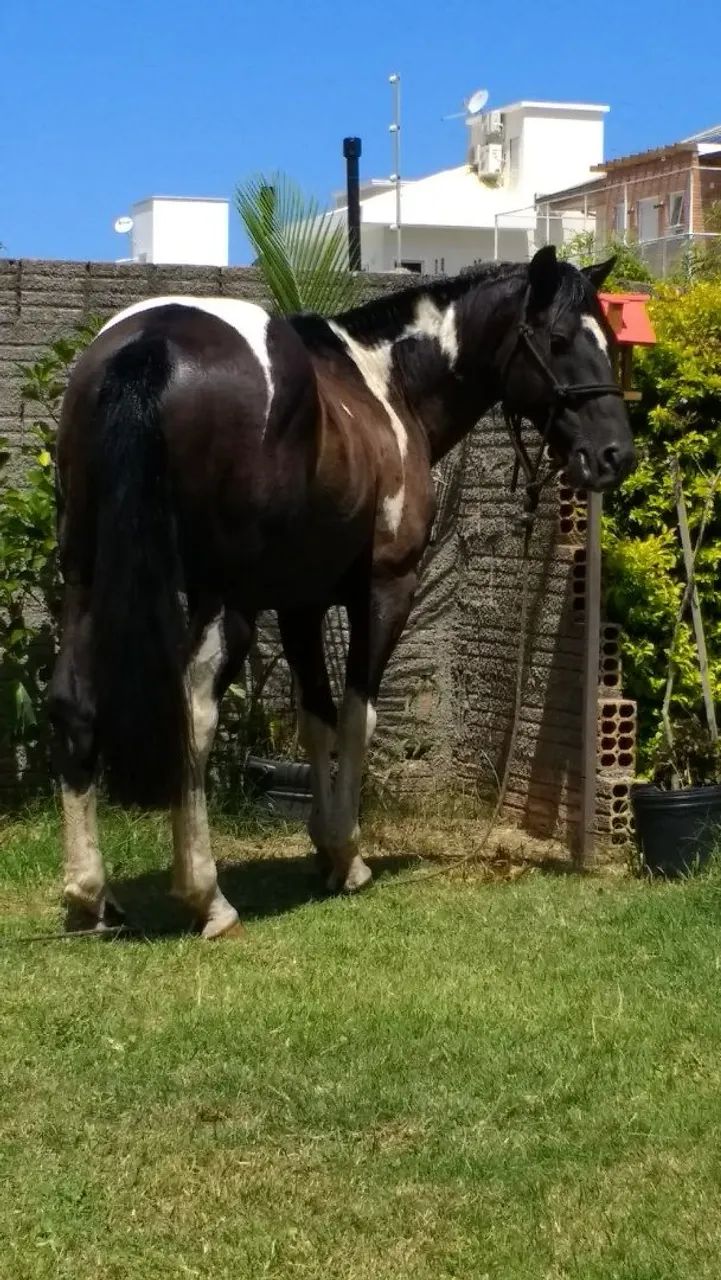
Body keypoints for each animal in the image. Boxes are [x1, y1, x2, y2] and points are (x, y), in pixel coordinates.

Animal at [48, 245, 635, 938]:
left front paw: (324, 848)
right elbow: (358, 716)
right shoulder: (384, 590)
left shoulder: (300, 604)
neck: (385, 384)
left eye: (608, 341)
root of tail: (152, 341)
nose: (615, 454)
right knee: (191, 707)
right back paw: (206, 896)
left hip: (85, 580)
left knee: (74, 702)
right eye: (560, 339)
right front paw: (348, 856)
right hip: (226, 600)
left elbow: (317, 719)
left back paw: (89, 896)